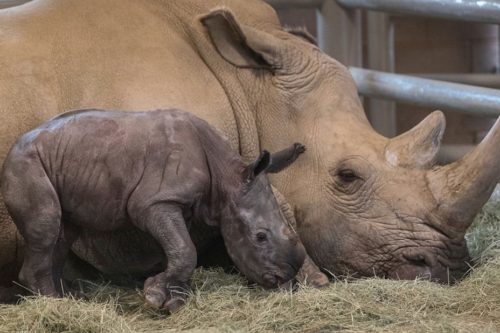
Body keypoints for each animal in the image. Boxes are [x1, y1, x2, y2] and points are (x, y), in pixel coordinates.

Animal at [1, 108, 306, 312]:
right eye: (260, 237)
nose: (283, 277)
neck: (227, 177)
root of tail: (14, 146)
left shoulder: (176, 204)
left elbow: (180, 248)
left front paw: (174, 299)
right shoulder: (153, 202)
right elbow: (185, 249)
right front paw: (156, 298)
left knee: (64, 233)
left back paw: (69, 298)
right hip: (25, 164)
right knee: (46, 226)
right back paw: (54, 304)